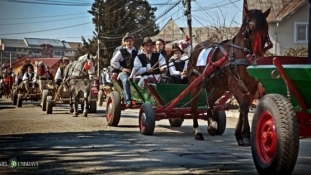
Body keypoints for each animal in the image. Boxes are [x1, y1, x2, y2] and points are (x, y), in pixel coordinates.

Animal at [188, 6, 272, 146]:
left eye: (266, 27)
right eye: (251, 28)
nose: (259, 54)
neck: (239, 54)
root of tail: (197, 47)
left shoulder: (252, 87)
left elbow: (244, 107)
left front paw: (239, 135)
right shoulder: (235, 86)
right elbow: (243, 106)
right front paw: (246, 135)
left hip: (220, 87)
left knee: (210, 101)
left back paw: (212, 125)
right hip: (195, 82)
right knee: (194, 106)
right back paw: (197, 131)